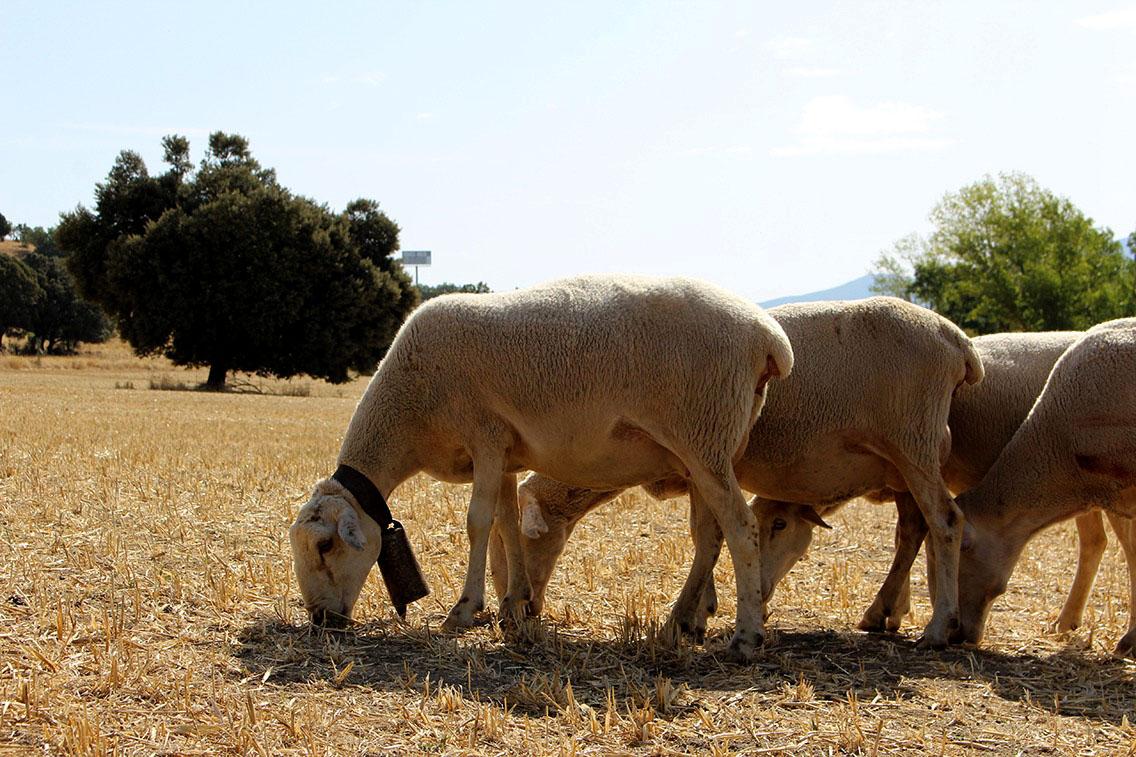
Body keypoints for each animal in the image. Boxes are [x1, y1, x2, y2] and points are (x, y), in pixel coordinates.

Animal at [288, 273, 795, 659]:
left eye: (325, 546)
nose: (320, 619)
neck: (410, 410)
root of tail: (768, 338)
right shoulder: (506, 450)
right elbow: (508, 524)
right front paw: (515, 604)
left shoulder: (485, 435)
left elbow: (477, 522)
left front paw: (464, 610)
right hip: (707, 450)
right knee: (708, 536)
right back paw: (680, 623)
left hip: (704, 435)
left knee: (741, 529)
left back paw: (746, 636)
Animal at [497, 297, 986, 645]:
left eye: (515, 539)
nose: (518, 611)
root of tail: (957, 342)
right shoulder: (698, 469)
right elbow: (707, 536)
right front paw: (701, 613)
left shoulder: (702, 460)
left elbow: (706, 536)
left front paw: (692, 617)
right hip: (906, 460)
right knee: (913, 529)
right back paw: (883, 612)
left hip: (913, 440)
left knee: (945, 521)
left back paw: (938, 628)